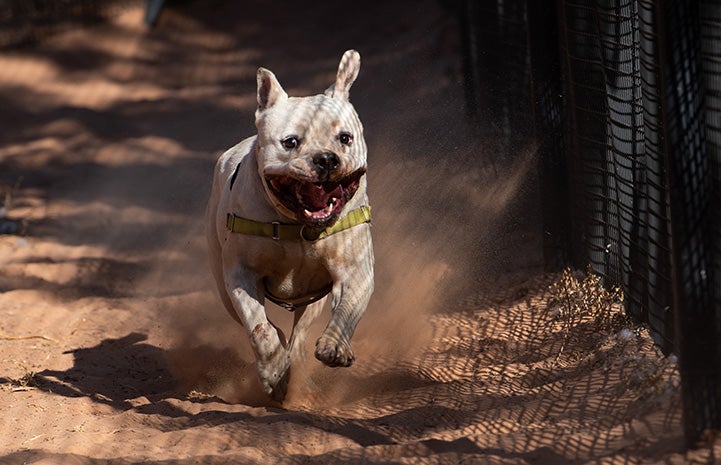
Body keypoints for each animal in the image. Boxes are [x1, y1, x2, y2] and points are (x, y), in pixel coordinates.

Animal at [202, 49, 372, 398]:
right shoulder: (241, 275)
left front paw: (335, 346)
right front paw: (273, 372)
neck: (298, 224)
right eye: (290, 142)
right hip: (223, 287)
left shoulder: (356, 268)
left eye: (345, 138)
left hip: (311, 297)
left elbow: (348, 306)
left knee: (302, 330)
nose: (326, 158)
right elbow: (259, 328)